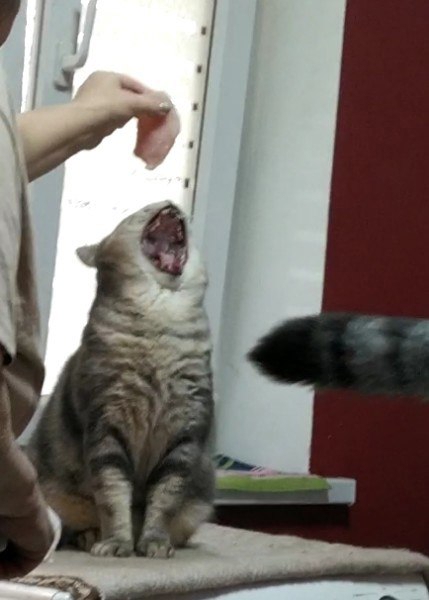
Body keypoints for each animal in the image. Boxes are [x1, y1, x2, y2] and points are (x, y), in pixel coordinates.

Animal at [28, 200, 215, 559]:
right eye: (142, 210)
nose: (170, 202)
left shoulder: (184, 435)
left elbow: (165, 499)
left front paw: (154, 541)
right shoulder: (106, 427)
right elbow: (113, 496)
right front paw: (117, 542)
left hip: (201, 497)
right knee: (72, 526)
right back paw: (90, 537)